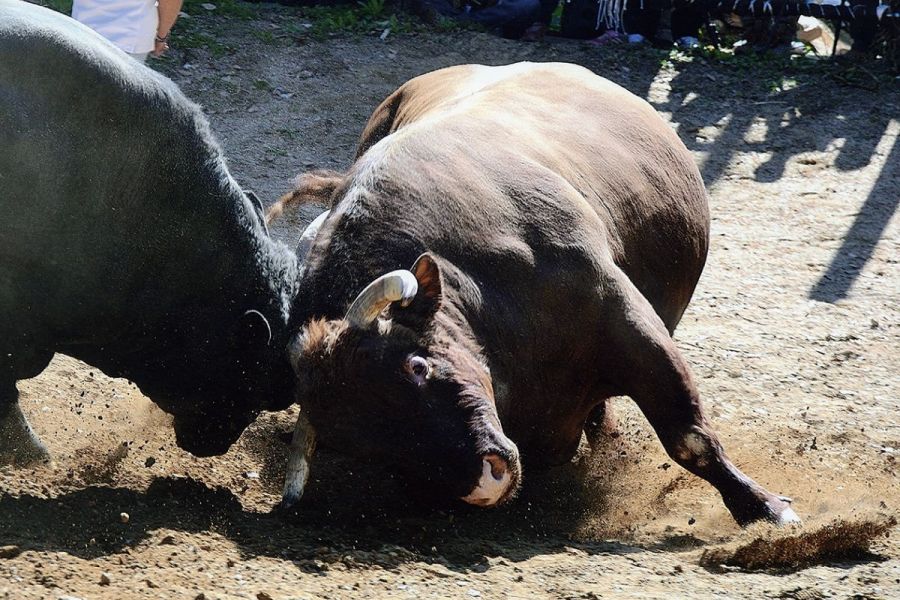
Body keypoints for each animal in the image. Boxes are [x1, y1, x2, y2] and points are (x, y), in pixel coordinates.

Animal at [278, 62, 800, 524]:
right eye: (364, 444)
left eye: (417, 367)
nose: (484, 482)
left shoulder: (625, 317)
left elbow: (689, 438)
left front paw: (765, 509)